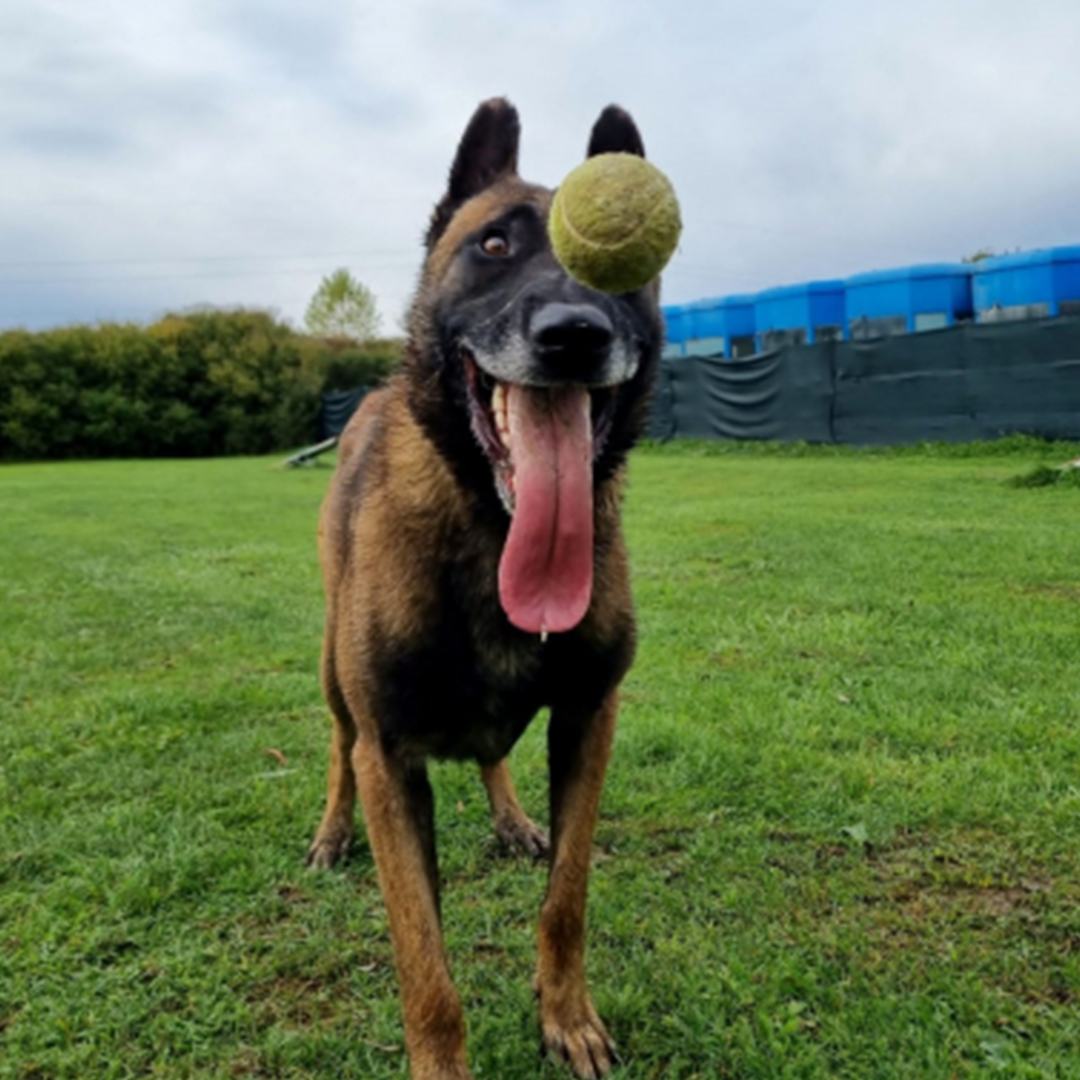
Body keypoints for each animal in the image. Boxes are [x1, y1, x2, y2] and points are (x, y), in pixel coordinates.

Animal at [304, 101, 669, 1080]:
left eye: (619, 262)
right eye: (493, 245)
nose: (574, 334)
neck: (493, 533)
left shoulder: (589, 720)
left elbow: (566, 897)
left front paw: (567, 1017)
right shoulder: (391, 765)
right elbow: (425, 969)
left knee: (493, 753)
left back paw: (509, 818)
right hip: (333, 676)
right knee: (336, 745)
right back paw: (330, 832)